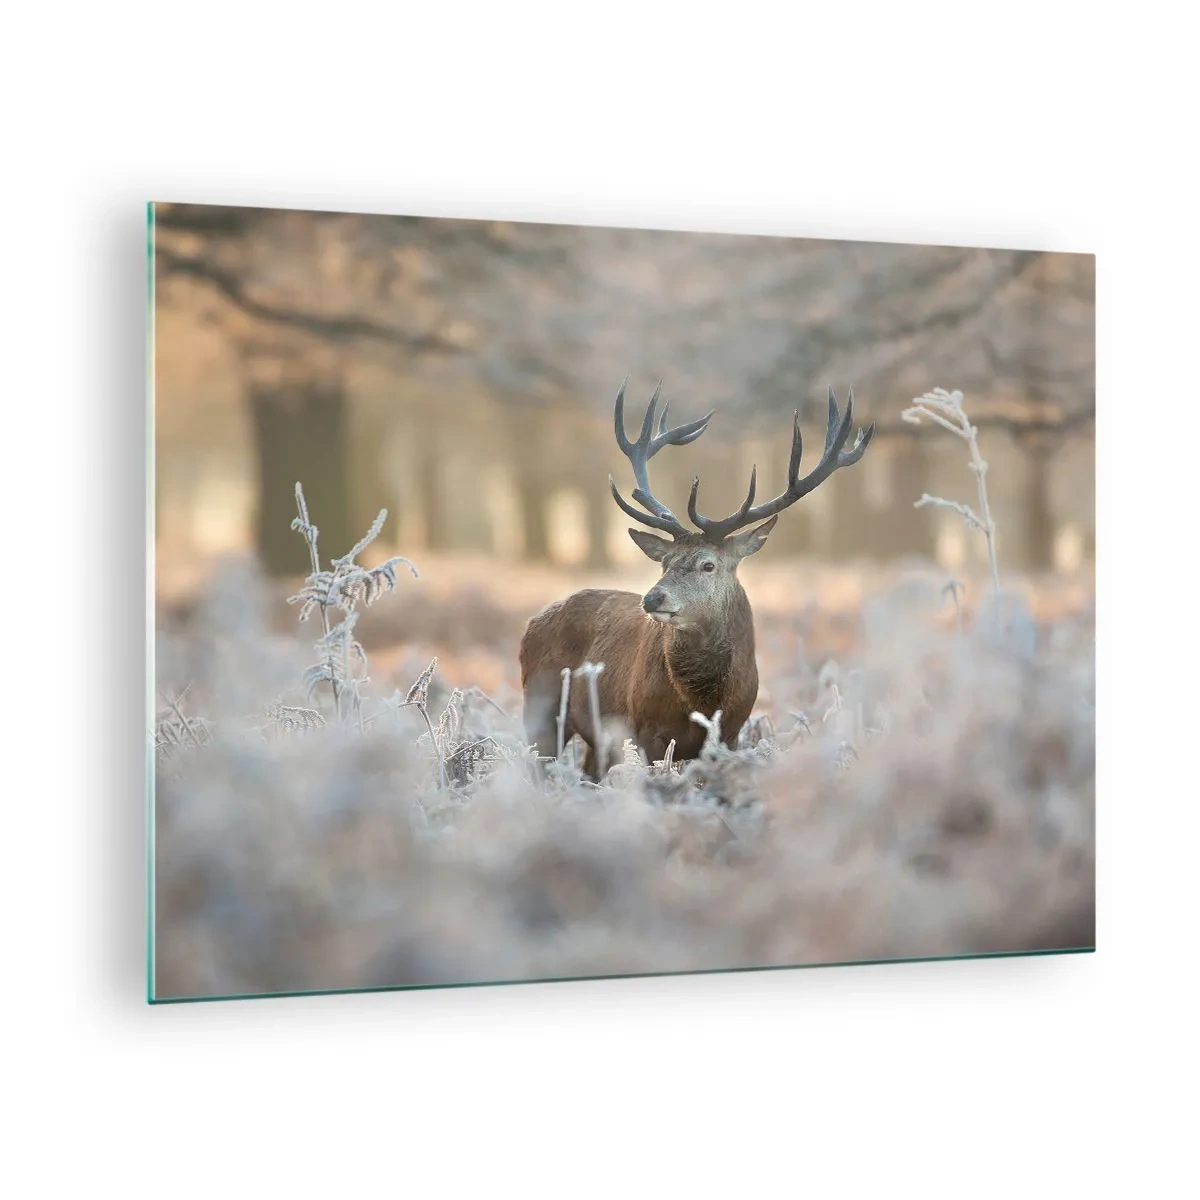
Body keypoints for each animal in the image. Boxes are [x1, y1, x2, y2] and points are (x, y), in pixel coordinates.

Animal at [519, 380, 875, 780]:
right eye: (665, 563)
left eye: (708, 565)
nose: (652, 599)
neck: (702, 701)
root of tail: (532, 623)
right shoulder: (643, 730)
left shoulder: (731, 733)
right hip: (540, 706)